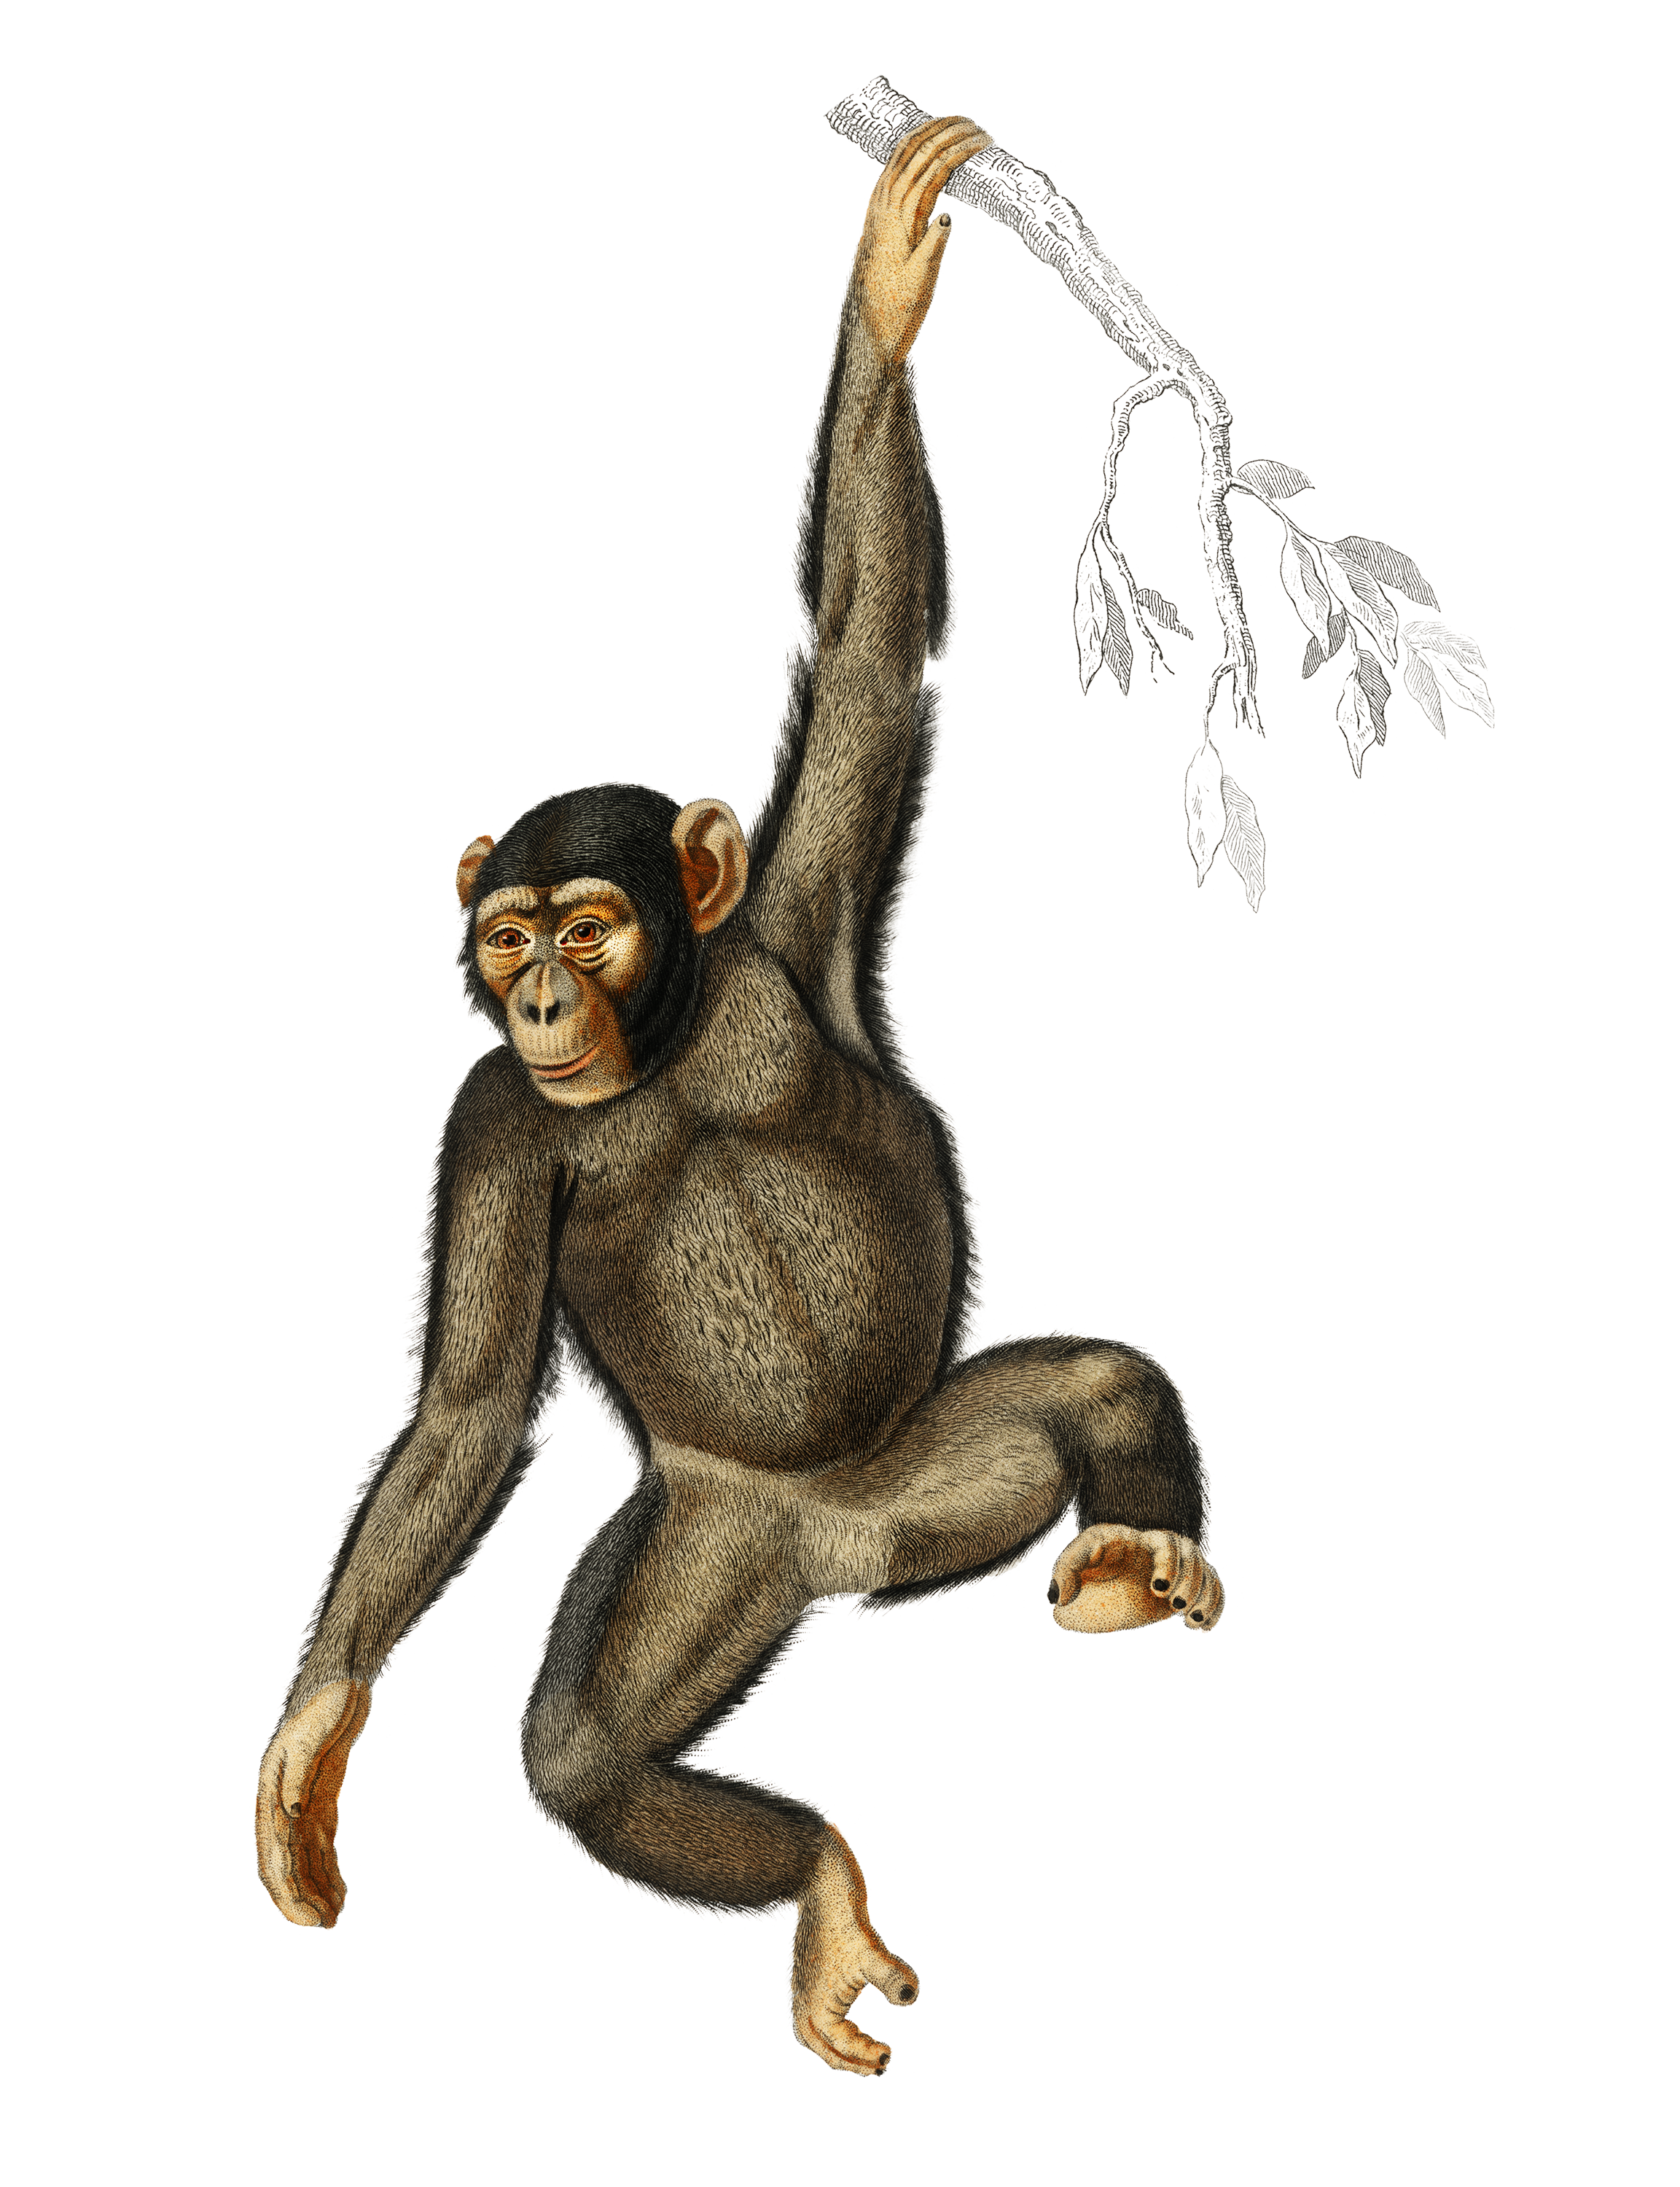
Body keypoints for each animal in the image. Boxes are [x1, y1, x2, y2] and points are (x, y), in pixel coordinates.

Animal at [255, 115, 1222, 2077]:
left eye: (593, 923)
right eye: (507, 935)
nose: (541, 990)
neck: (669, 1045)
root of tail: (844, 1553)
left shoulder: (796, 902)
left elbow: (863, 639)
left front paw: (893, 281)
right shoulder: (487, 1130)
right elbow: (465, 1409)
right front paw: (311, 1740)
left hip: (941, 1465)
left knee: (1094, 1382)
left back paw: (1134, 1544)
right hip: (712, 1547)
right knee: (591, 1750)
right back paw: (821, 1890)